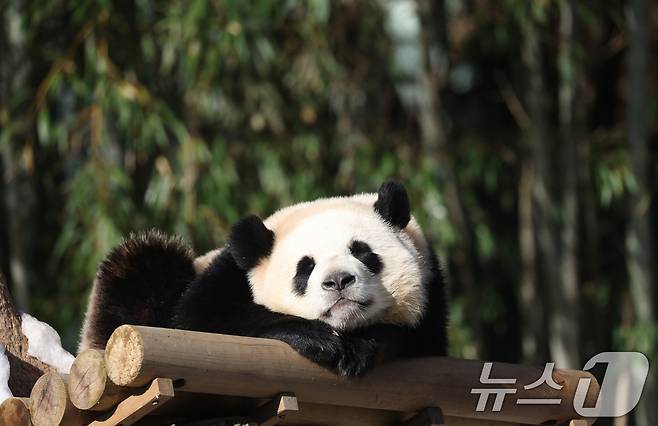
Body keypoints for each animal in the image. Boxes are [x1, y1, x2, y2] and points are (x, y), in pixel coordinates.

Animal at [78, 180, 446, 376]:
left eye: (362, 252)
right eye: (305, 268)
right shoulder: (227, 274)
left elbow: (418, 339)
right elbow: (198, 321)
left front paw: (362, 348)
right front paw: (317, 339)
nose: (338, 281)